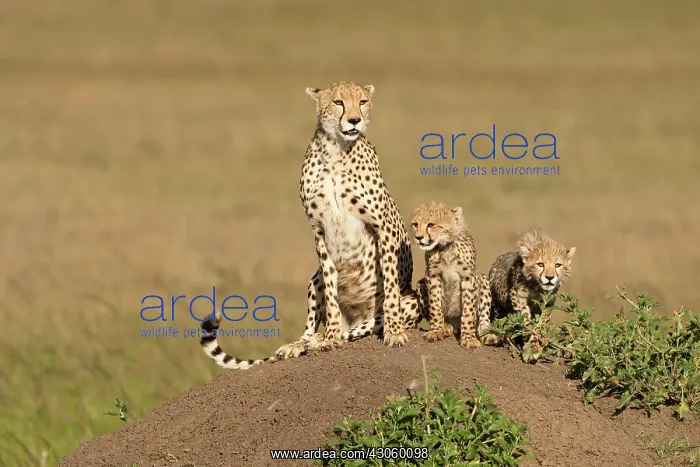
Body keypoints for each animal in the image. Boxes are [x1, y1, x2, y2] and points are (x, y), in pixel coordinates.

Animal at [200, 81, 424, 370]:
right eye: (339, 102)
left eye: (362, 101)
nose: (355, 120)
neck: (337, 151)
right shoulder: (319, 231)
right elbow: (330, 291)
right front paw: (328, 338)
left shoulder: (382, 226)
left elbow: (390, 292)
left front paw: (394, 333)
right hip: (313, 278)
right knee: (318, 324)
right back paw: (302, 343)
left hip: (412, 301)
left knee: (365, 326)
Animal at [410, 200, 499, 349]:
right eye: (415, 224)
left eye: (431, 225)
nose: (418, 237)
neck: (445, 246)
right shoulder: (431, 275)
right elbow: (435, 307)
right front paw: (435, 331)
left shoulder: (468, 276)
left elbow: (468, 311)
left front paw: (468, 338)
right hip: (421, 284)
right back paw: (446, 326)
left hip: (483, 279)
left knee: (483, 318)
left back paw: (487, 334)